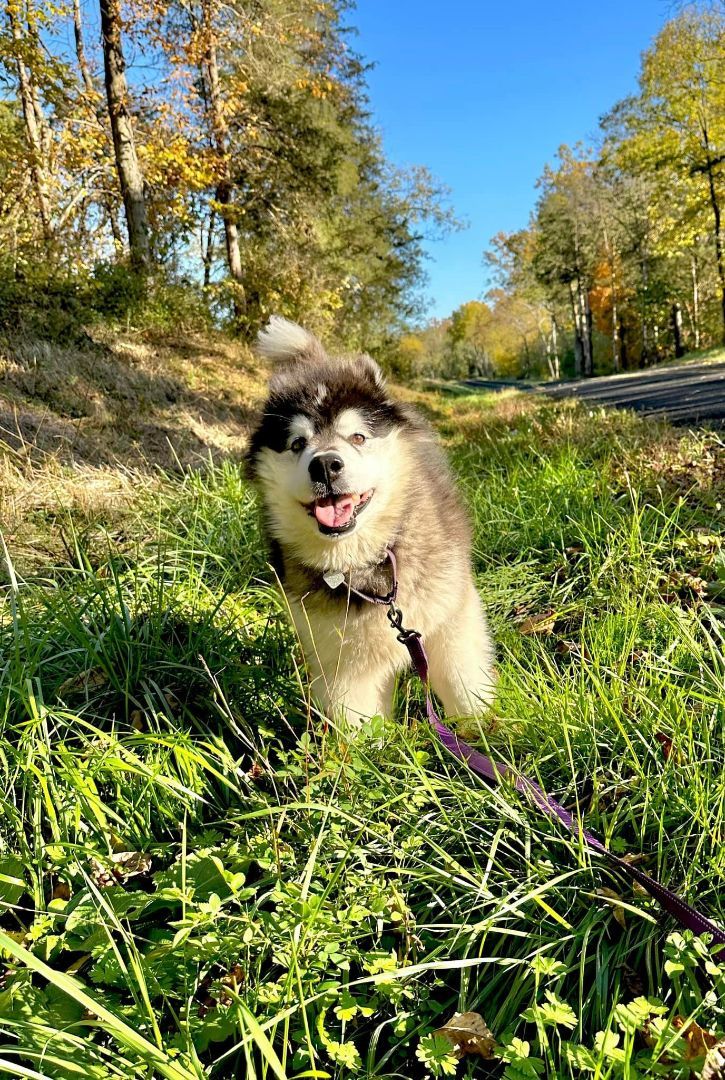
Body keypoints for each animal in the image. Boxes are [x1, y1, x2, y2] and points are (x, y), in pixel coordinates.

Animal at [246, 315, 497, 730]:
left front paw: (485, 733)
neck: (364, 562)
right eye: (297, 444)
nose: (325, 465)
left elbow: (464, 686)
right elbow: (357, 725)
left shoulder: (450, 621)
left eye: (358, 437)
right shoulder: (340, 661)